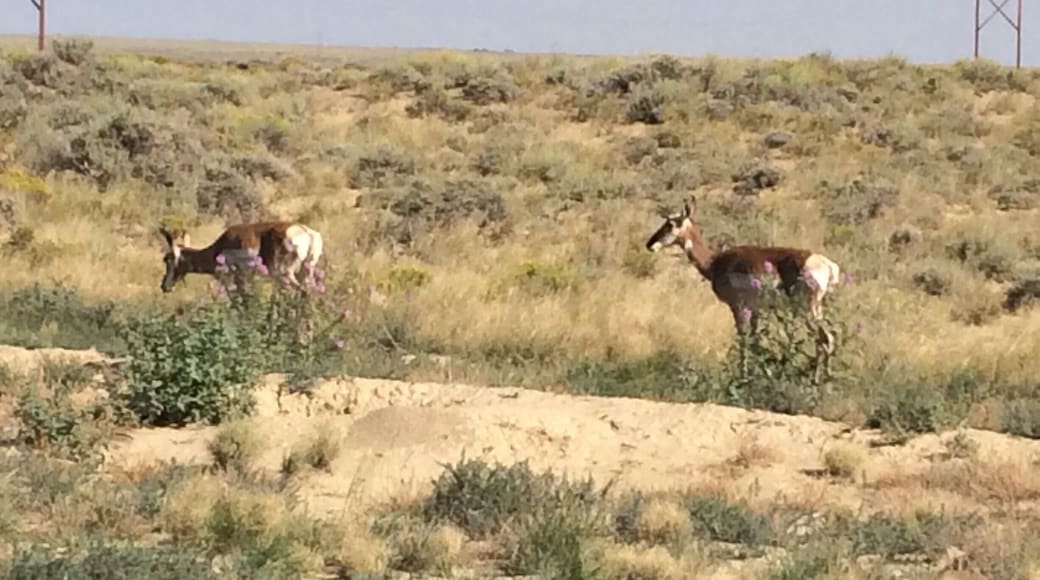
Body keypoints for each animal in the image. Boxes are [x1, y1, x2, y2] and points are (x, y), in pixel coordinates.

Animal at [159, 221, 324, 293]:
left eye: (167, 259)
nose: (164, 286)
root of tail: (306, 231)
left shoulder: (236, 281)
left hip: (286, 276)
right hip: (304, 273)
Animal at [645, 196, 842, 382]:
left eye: (670, 224)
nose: (649, 244)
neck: (715, 262)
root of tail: (825, 263)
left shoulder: (738, 307)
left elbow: (743, 339)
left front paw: (744, 376)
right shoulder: (755, 310)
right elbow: (755, 340)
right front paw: (762, 372)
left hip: (806, 310)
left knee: (824, 337)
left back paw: (817, 378)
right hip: (815, 309)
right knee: (827, 337)